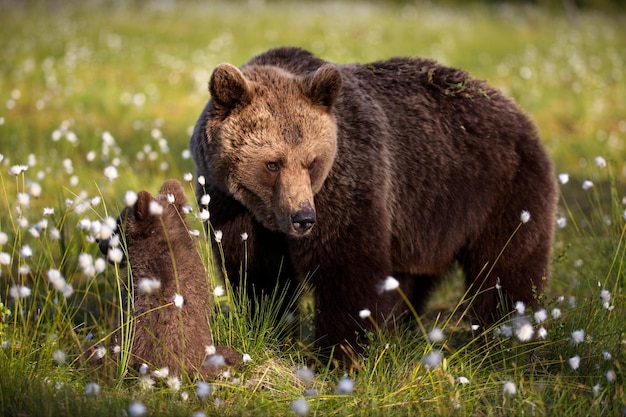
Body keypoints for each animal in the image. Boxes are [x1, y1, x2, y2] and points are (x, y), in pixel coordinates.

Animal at [188, 47, 552, 354]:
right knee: (412, 278)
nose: (303, 218)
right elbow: (258, 273)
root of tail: (516, 108)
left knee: (507, 267)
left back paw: (508, 339)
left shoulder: (345, 185)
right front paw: (271, 330)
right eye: (273, 163)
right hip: (425, 222)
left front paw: (340, 353)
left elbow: (347, 269)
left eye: (312, 161)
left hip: (496, 191)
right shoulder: (230, 205)